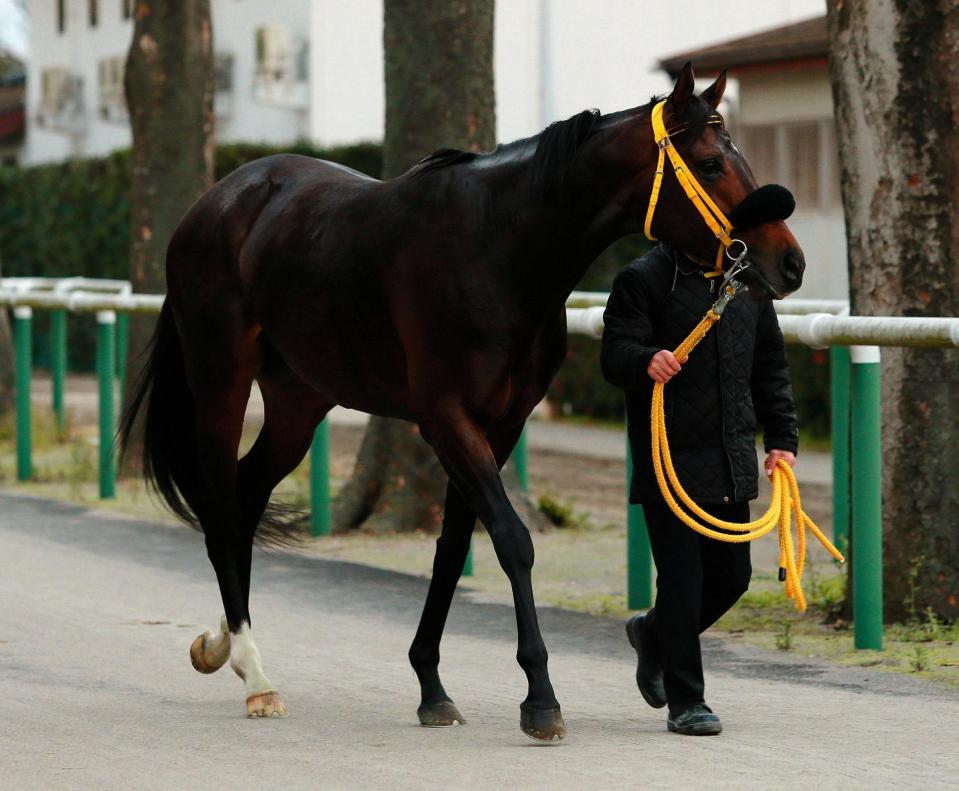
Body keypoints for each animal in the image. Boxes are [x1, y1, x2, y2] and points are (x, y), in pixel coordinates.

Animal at [124, 63, 808, 744]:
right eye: (712, 163)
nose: (790, 262)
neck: (495, 248)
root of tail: (216, 202)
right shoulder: (445, 418)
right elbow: (511, 540)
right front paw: (540, 700)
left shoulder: (499, 424)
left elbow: (453, 548)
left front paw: (431, 687)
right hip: (221, 380)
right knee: (220, 505)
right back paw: (254, 674)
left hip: (299, 400)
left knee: (243, 499)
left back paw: (221, 644)